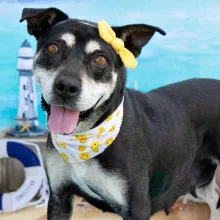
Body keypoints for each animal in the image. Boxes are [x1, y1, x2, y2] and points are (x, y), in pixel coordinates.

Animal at [20, 7, 220, 220]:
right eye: (53, 48)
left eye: (100, 60)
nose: (66, 86)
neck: (84, 140)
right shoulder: (59, 196)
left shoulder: (137, 208)